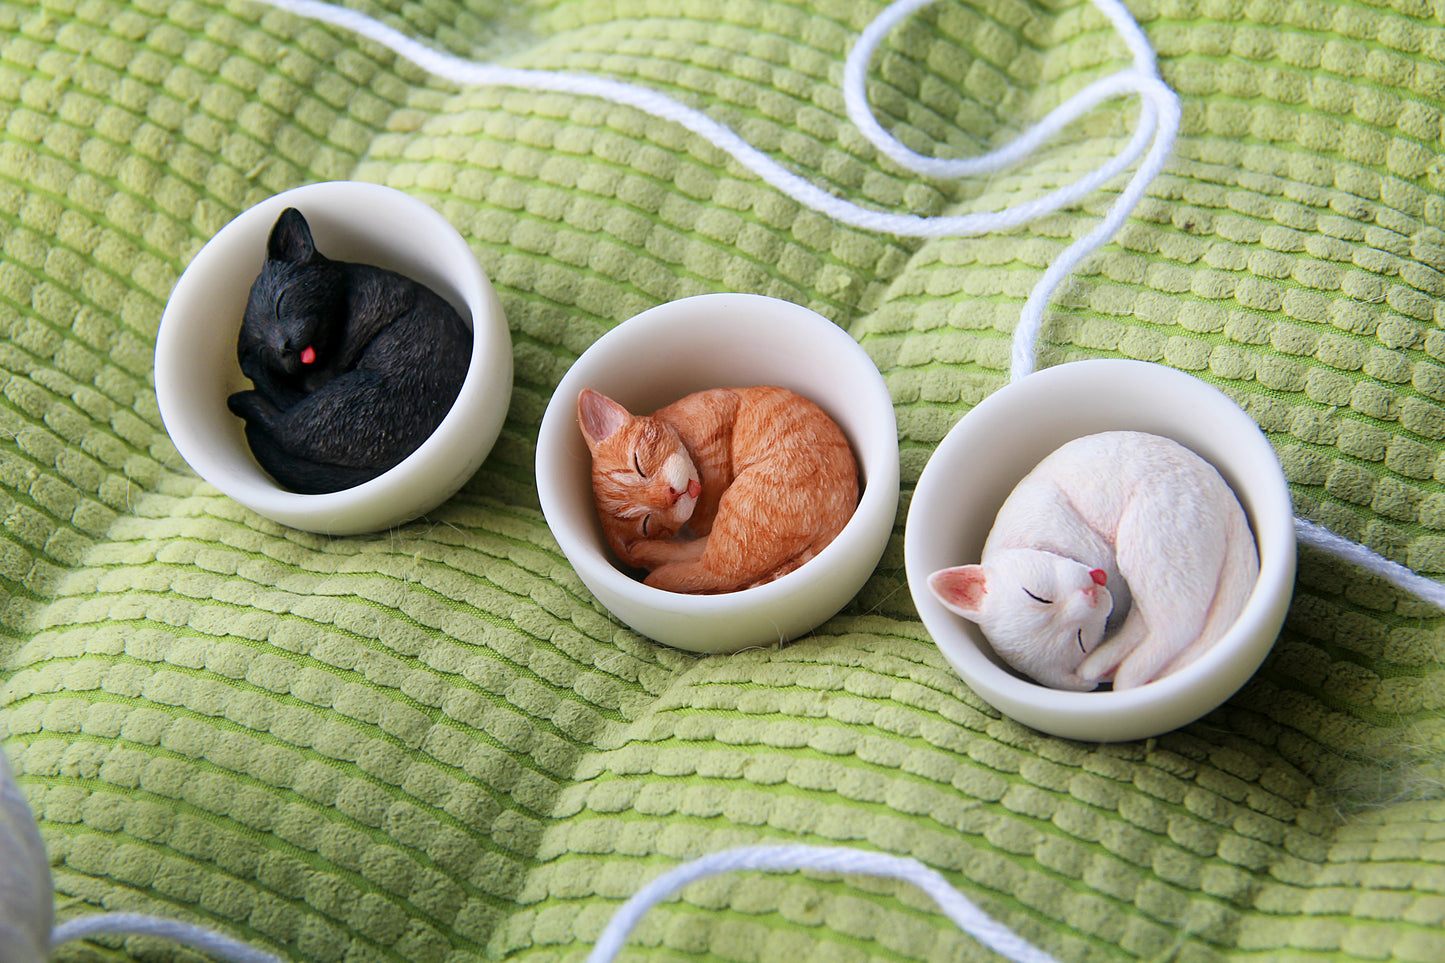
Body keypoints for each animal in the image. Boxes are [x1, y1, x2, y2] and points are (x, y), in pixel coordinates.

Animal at [578, 384, 855, 592]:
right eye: (646, 523)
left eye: (638, 465)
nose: (670, 495)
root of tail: (837, 522)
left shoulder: (718, 411)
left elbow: (712, 482)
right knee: (710, 567)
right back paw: (650, 560)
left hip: (743, 506)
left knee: (712, 569)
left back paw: (654, 574)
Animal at [930, 428, 1260, 691]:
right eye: (1080, 639)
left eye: (1037, 595)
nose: (1090, 592)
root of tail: (1230, 505)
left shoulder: (1053, 518)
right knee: (1168, 626)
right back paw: (1116, 668)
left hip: (1152, 536)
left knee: (1178, 625)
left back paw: (1129, 675)